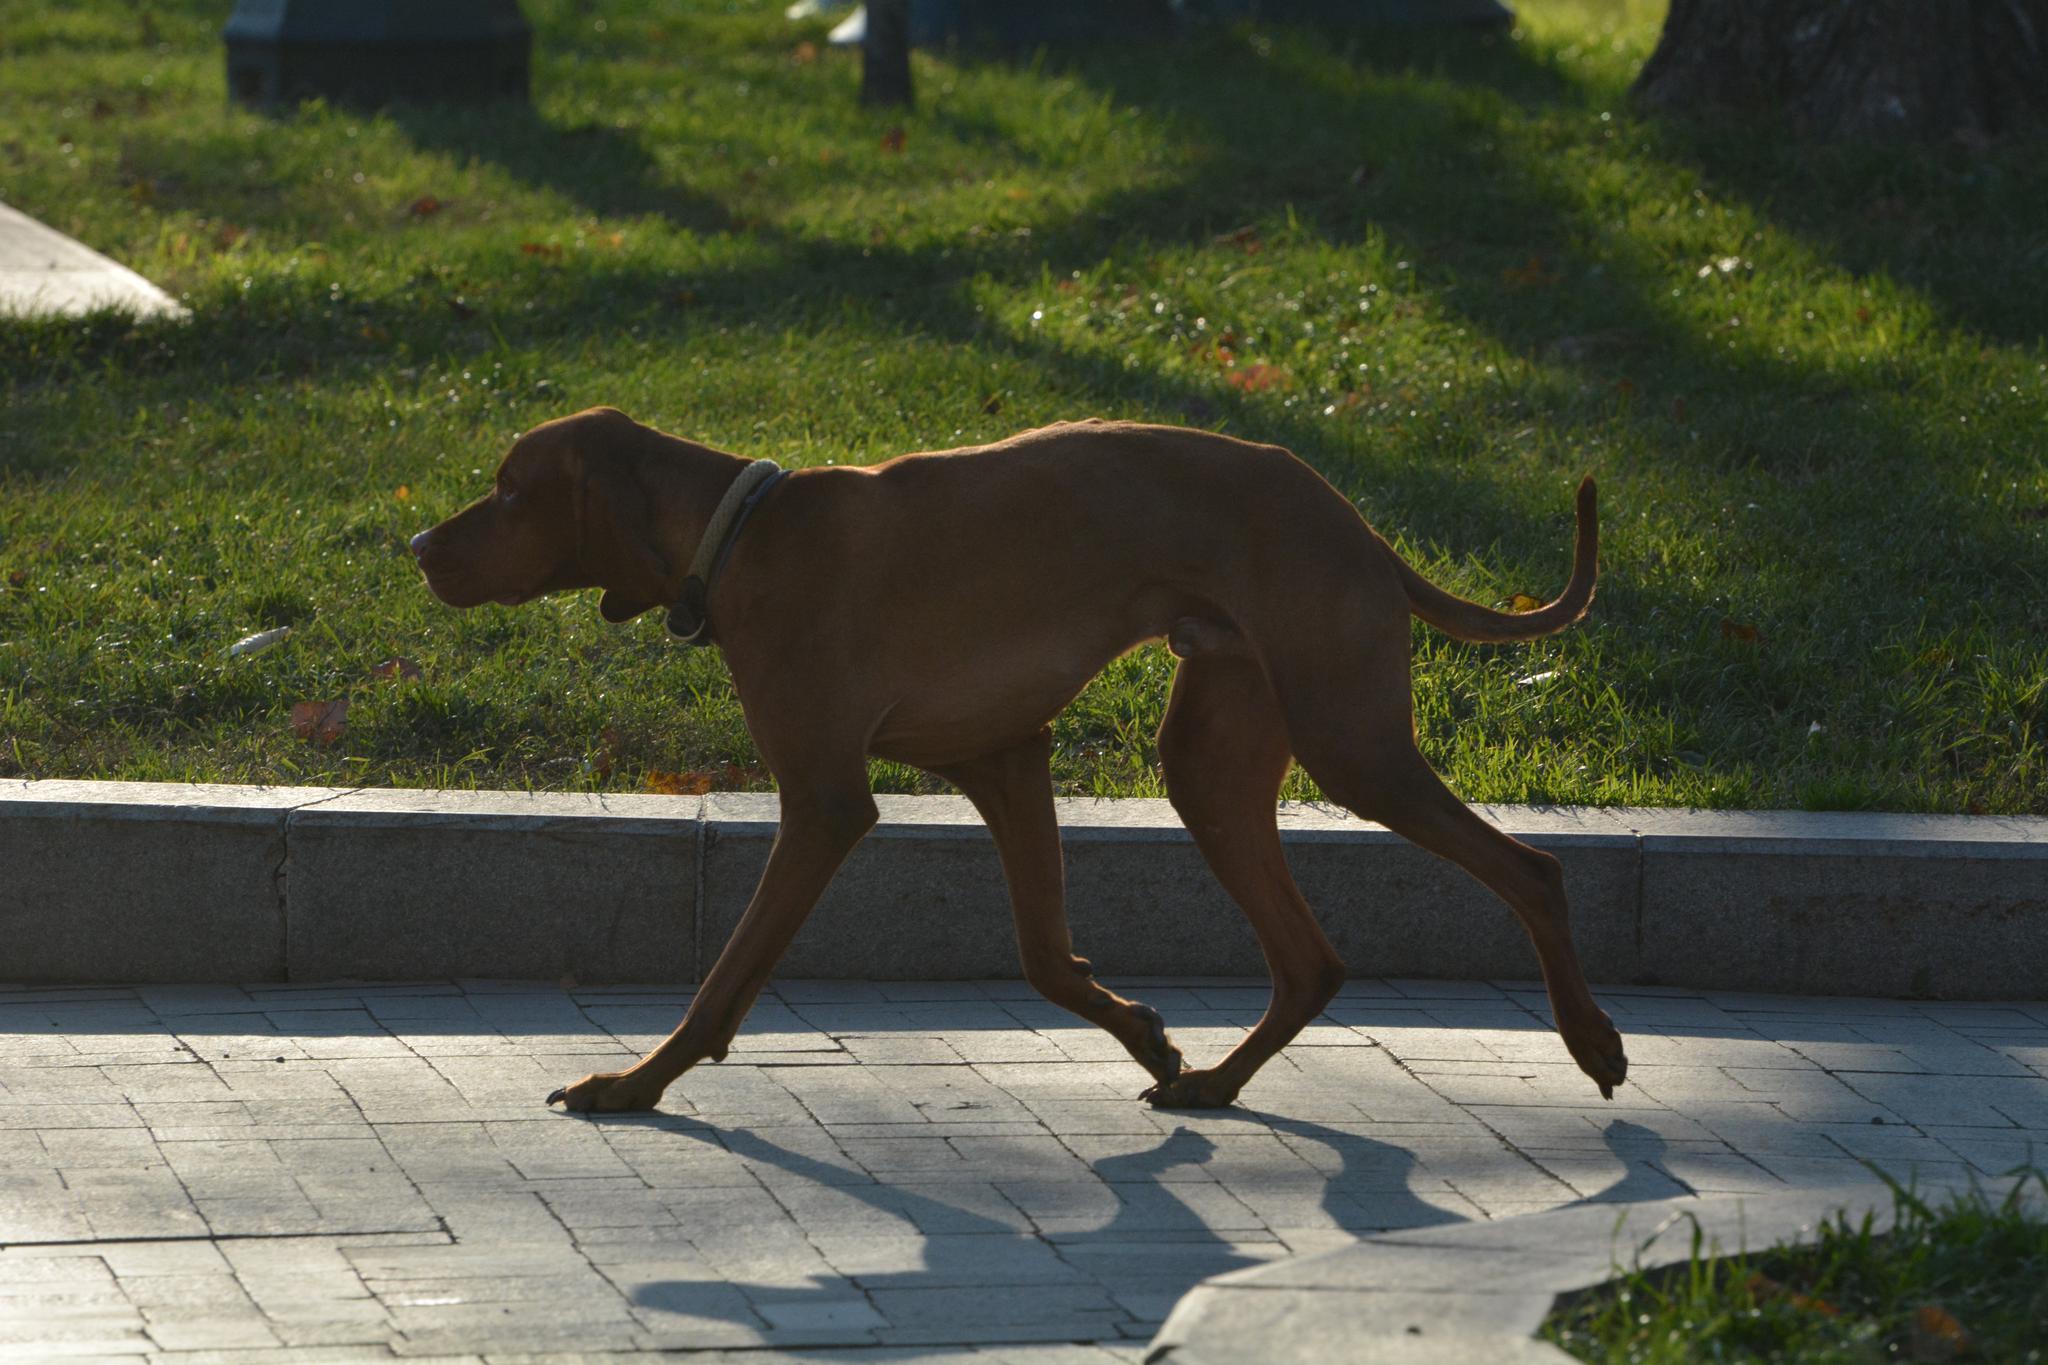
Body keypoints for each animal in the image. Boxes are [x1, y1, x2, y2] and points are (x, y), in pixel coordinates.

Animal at [411, 405, 1630, 1113]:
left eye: (510, 489)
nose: (416, 546)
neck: (741, 529)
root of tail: (1359, 523)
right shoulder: (1004, 759)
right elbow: (1045, 958)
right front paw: (1147, 1038)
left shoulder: (826, 800)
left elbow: (727, 976)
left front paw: (636, 1083)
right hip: (1213, 760)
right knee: (1311, 960)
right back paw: (1214, 1082)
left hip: (1351, 744)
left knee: (1533, 870)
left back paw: (1593, 1044)